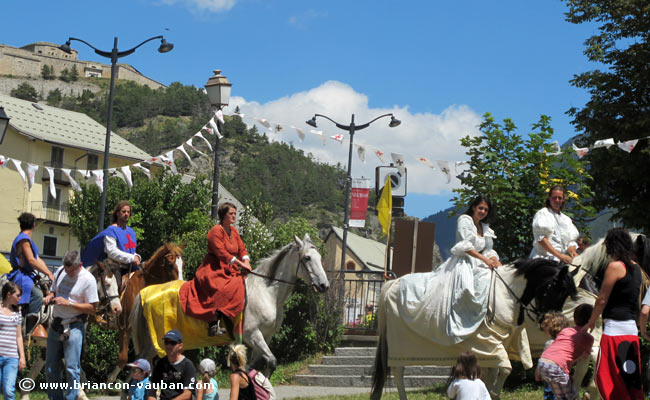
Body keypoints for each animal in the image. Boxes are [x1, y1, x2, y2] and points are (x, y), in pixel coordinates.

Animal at [128, 234, 330, 376]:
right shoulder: (253, 335)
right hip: (154, 343)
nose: (324, 285)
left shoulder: (264, 338)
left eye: (320, 257)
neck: (266, 292)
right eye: (307, 258)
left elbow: (252, 367)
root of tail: (146, 292)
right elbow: (271, 362)